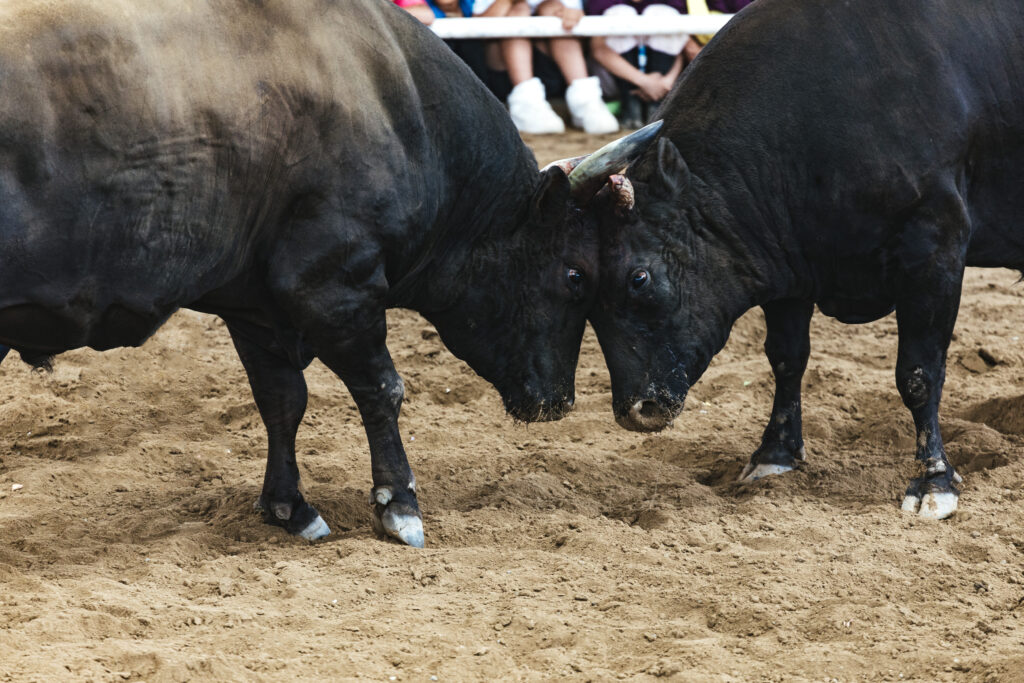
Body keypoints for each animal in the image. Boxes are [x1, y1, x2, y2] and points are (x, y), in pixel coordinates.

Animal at [0, 0, 655, 548]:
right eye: (575, 275)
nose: (559, 400)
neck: (396, 104)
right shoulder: (333, 286)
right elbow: (383, 389)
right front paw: (399, 505)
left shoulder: (255, 304)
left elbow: (282, 400)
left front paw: (290, 507)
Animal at [589, 0, 1024, 518]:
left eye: (638, 277)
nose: (635, 411)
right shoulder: (785, 268)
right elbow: (786, 358)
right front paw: (773, 453)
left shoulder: (936, 249)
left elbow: (919, 373)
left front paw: (933, 479)